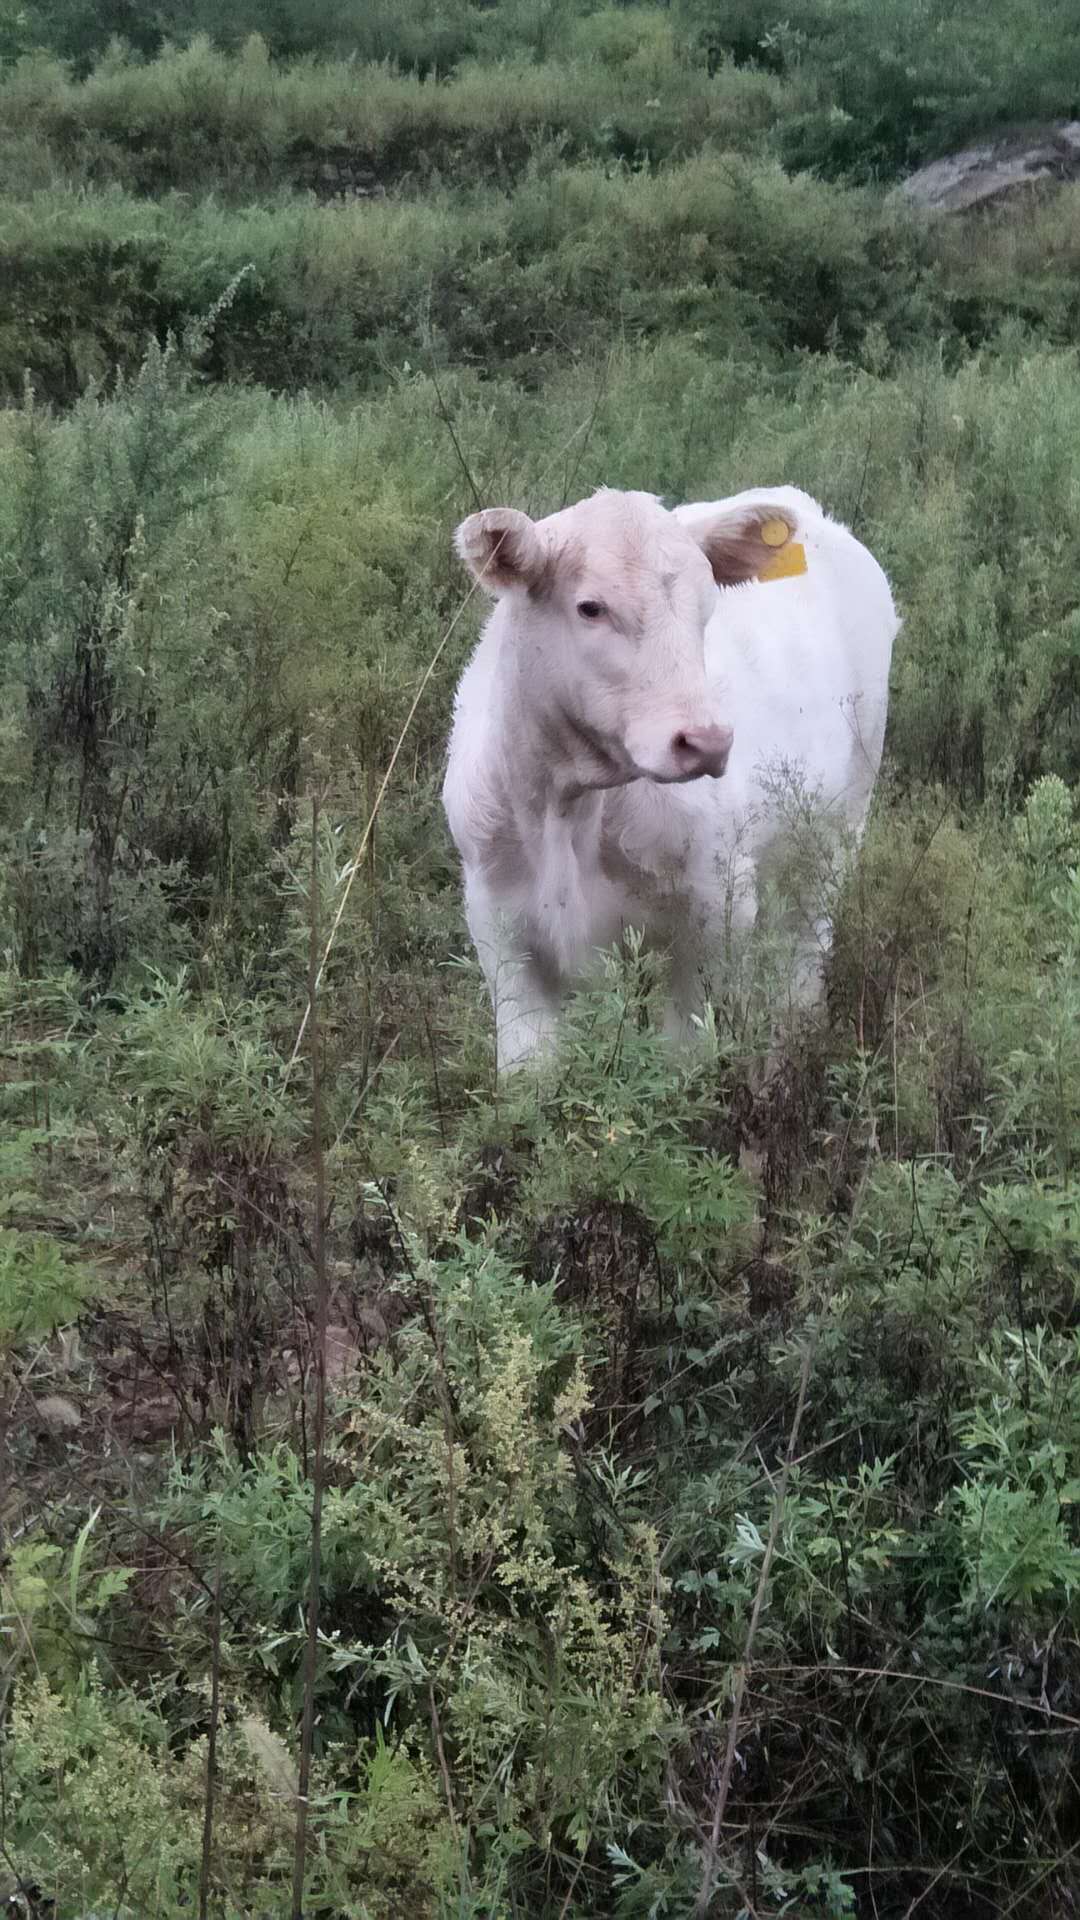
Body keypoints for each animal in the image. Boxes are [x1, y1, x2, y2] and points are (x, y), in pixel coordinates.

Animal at [441, 487, 895, 1075]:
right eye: (591, 607)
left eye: (706, 607)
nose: (707, 741)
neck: (570, 807)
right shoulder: (496, 918)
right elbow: (528, 1069)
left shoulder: (714, 906)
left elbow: (684, 1058)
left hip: (840, 826)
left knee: (803, 949)